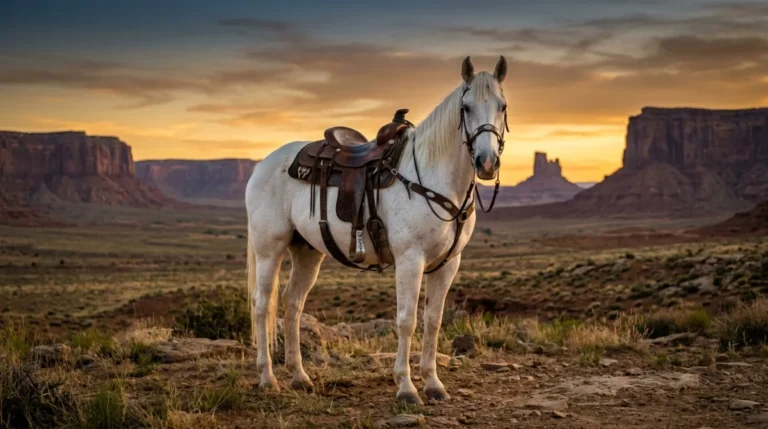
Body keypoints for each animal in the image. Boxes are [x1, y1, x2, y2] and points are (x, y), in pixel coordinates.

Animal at [245, 56, 507, 404]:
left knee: (292, 304)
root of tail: (262, 165)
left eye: (503, 106)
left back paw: (300, 376)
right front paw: (407, 387)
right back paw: (267, 378)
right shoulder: (410, 259)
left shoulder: (448, 264)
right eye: (465, 107)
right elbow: (407, 321)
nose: (486, 162)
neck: (434, 176)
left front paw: (433, 383)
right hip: (269, 248)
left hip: (307, 252)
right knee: (262, 305)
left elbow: (434, 321)